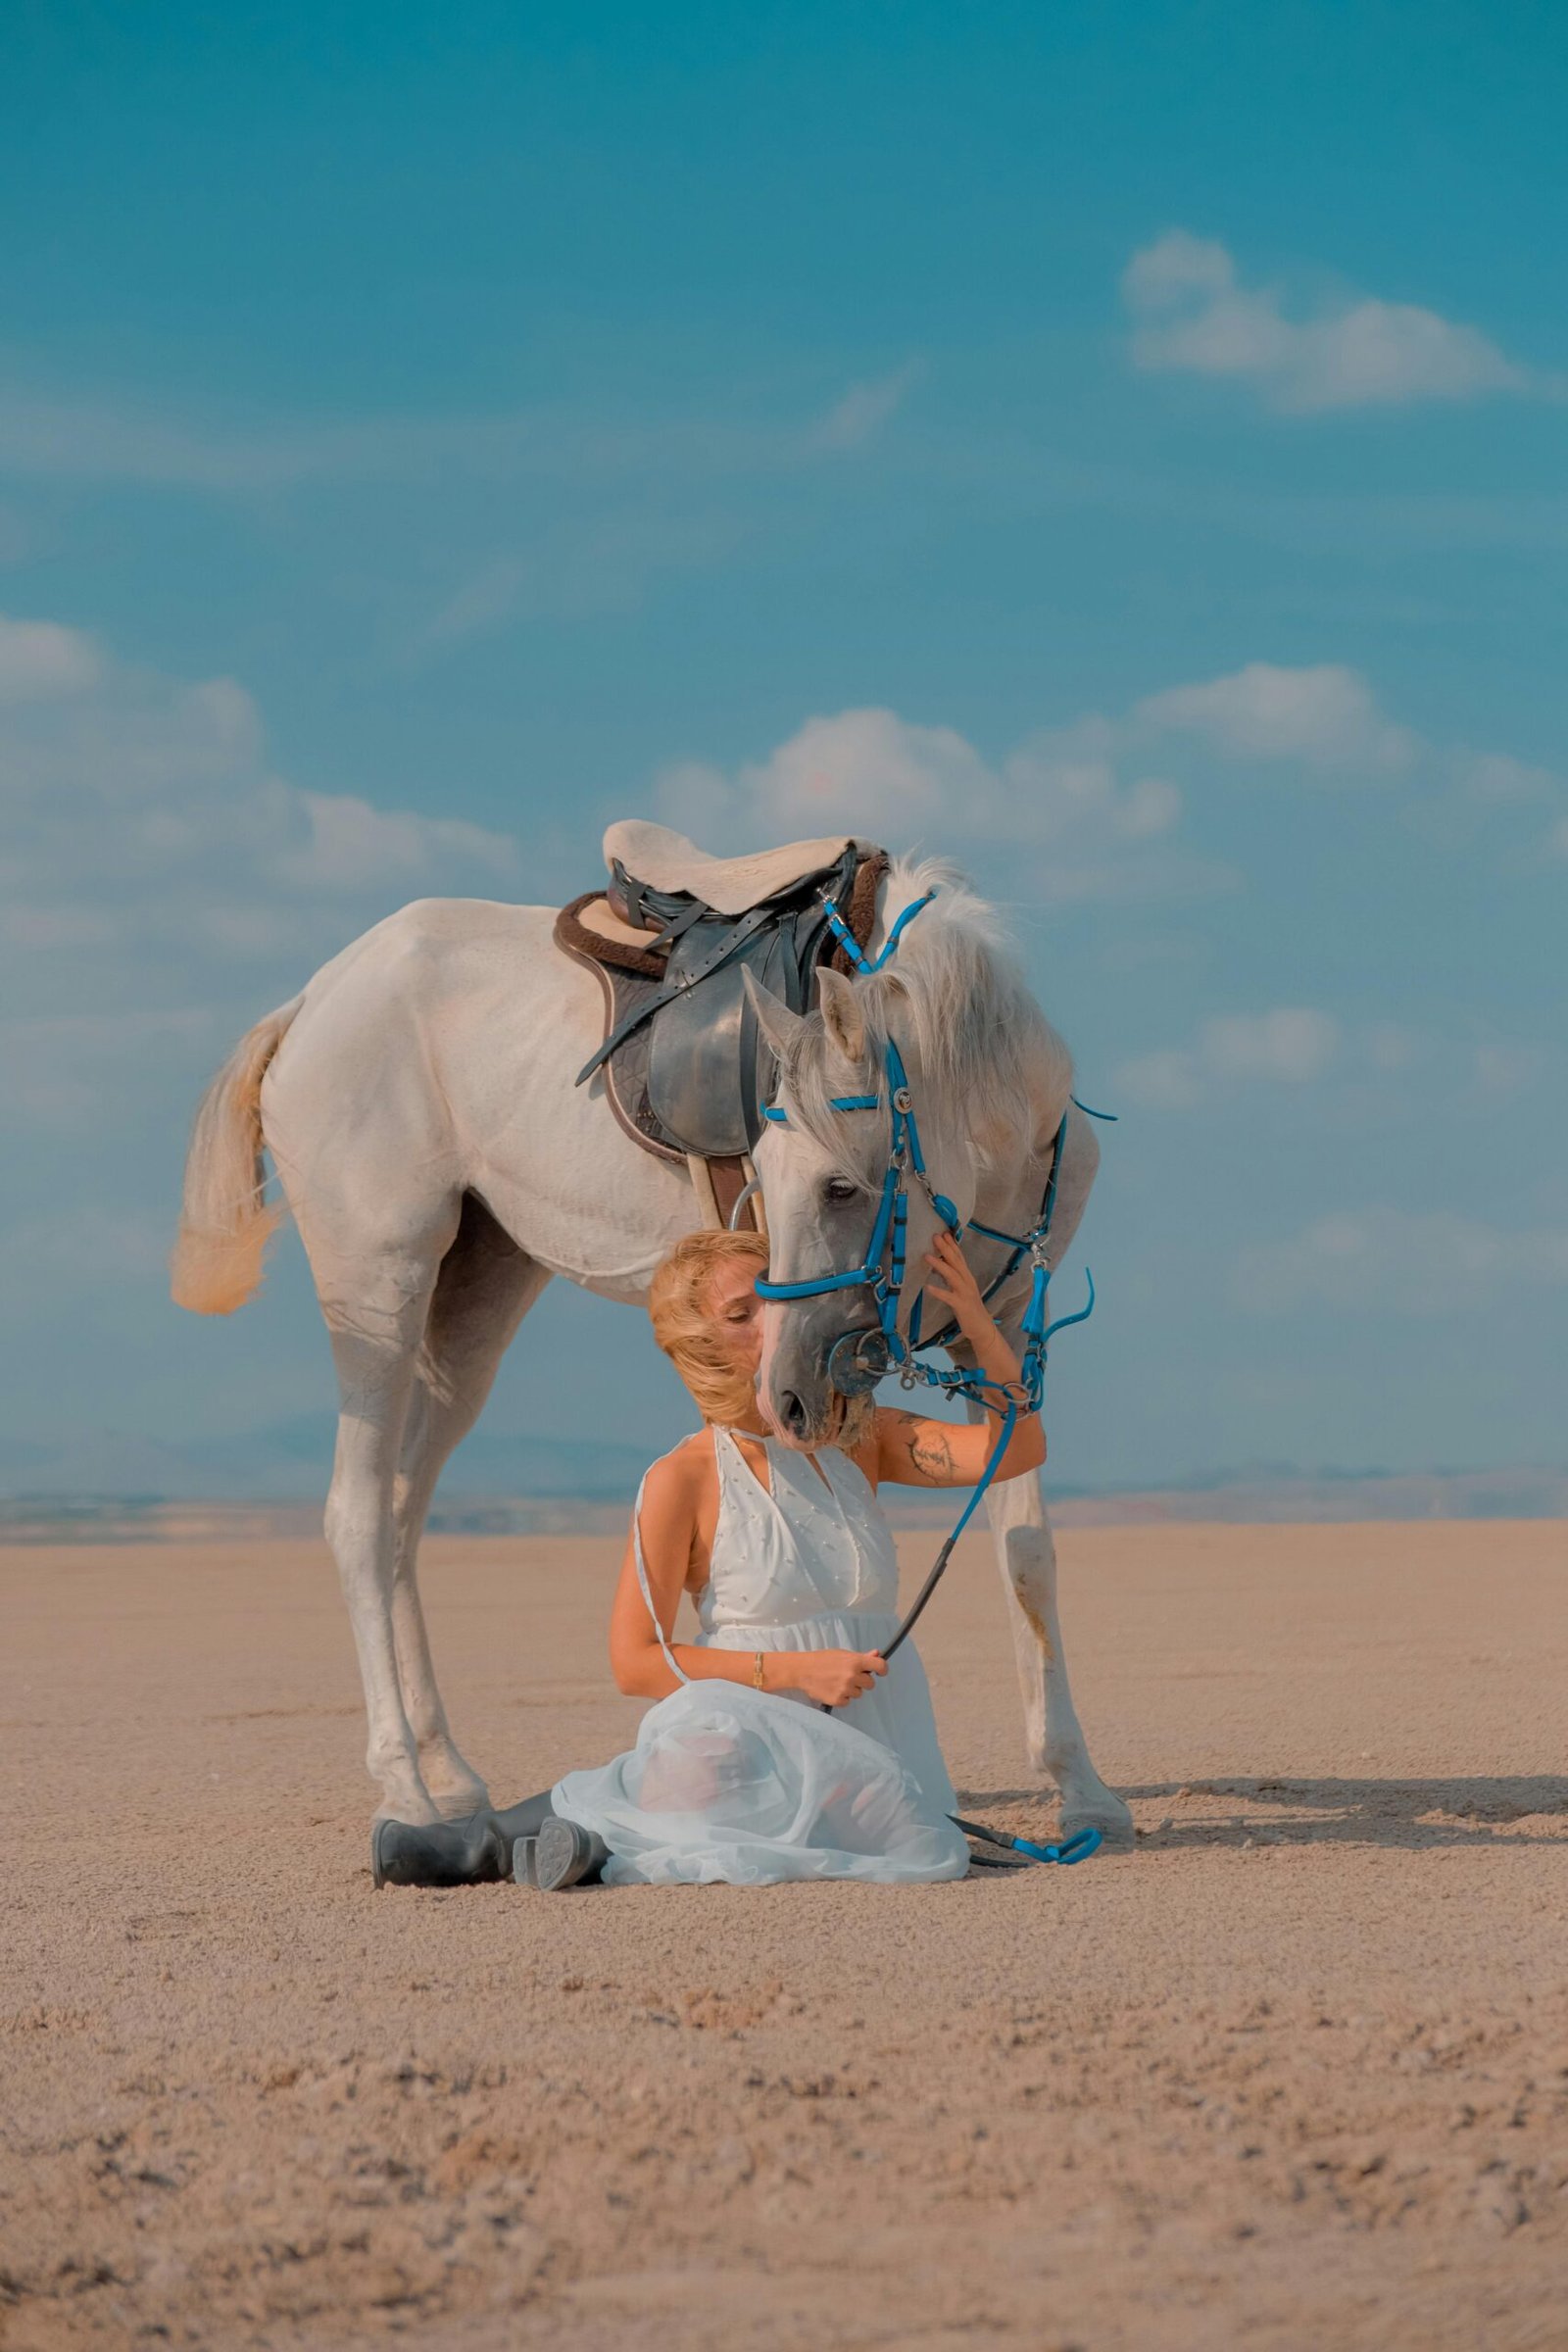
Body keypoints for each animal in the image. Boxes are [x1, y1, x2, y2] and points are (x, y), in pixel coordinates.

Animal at [174, 837, 1128, 1843]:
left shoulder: (1005, 1323)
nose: (791, 1395)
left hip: (473, 1303)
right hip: (378, 1284)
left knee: (400, 1511)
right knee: (356, 1514)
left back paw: (451, 1772)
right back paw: (406, 1789)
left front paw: (1084, 1789)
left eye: (840, 1186)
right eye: (773, 1175)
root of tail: (309, 1004)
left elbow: (1026, 1552)